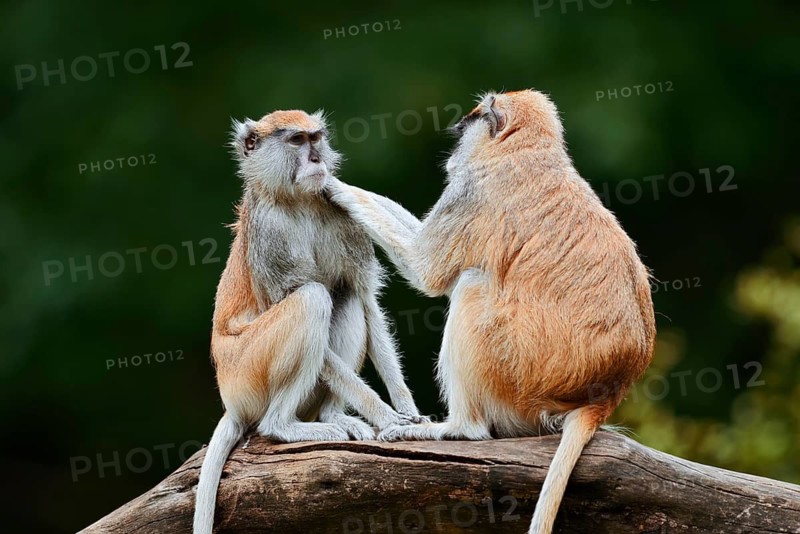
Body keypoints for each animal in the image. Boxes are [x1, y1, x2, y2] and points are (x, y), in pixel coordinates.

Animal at [193, 109, 426, 534]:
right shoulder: (269, 236)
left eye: (316, 138)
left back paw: (334, 415)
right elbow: (297, 298)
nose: (316, 159)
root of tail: (231, 402)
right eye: (297, 141)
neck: (295, 200)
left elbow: (364, 296)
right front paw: (386, 416)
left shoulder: (340, 214)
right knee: (313, 299)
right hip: (245, 371)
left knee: (343, 296)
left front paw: (407, 412)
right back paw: (282, 426)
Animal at [326, 90, 656, 534]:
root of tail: (602, 397)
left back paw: (459, 428)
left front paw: (336, 187)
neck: (528, 149)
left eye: (472, 119)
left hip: (518, 379)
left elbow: (427, 270)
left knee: (471, 286)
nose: (455, 132)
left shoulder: (473, 191)